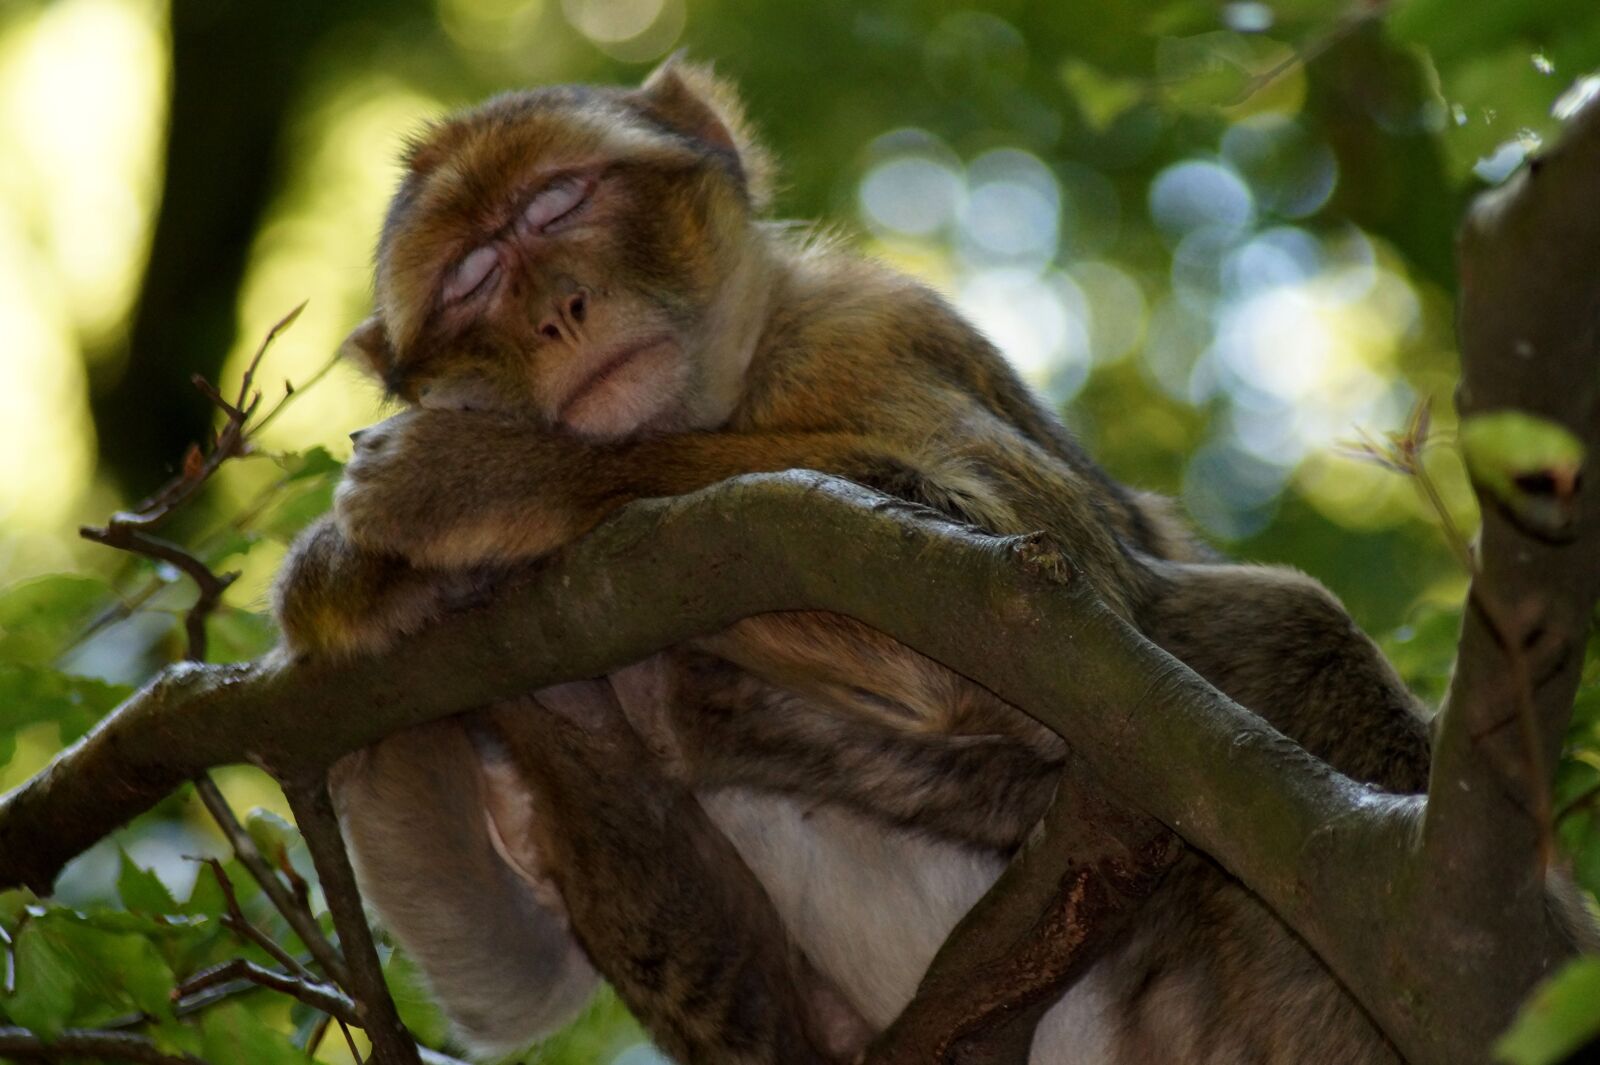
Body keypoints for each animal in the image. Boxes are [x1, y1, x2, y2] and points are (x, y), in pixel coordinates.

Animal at [272, 59, 1485, 1064]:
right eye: (475, 275)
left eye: (560, 203)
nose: (558, 313)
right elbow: (511, 978)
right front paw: (355, 588)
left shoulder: (874, 330)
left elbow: (1037, 576)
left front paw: (478, 483)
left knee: (1279, 626)